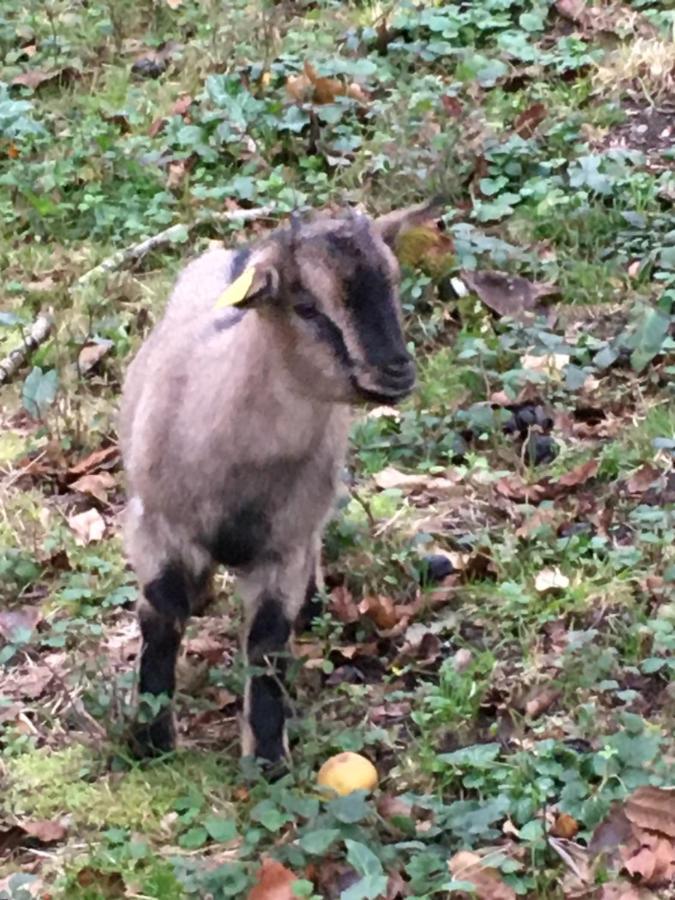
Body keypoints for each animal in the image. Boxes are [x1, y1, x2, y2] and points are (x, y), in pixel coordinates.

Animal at [119, 202, 430, 760]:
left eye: (393, 281)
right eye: (306, 306)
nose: (395, 371)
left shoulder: (283, 549)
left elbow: (267, 642)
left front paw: (267, 757)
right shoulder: (156, 525)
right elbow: (163, 617)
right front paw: (151, 738)